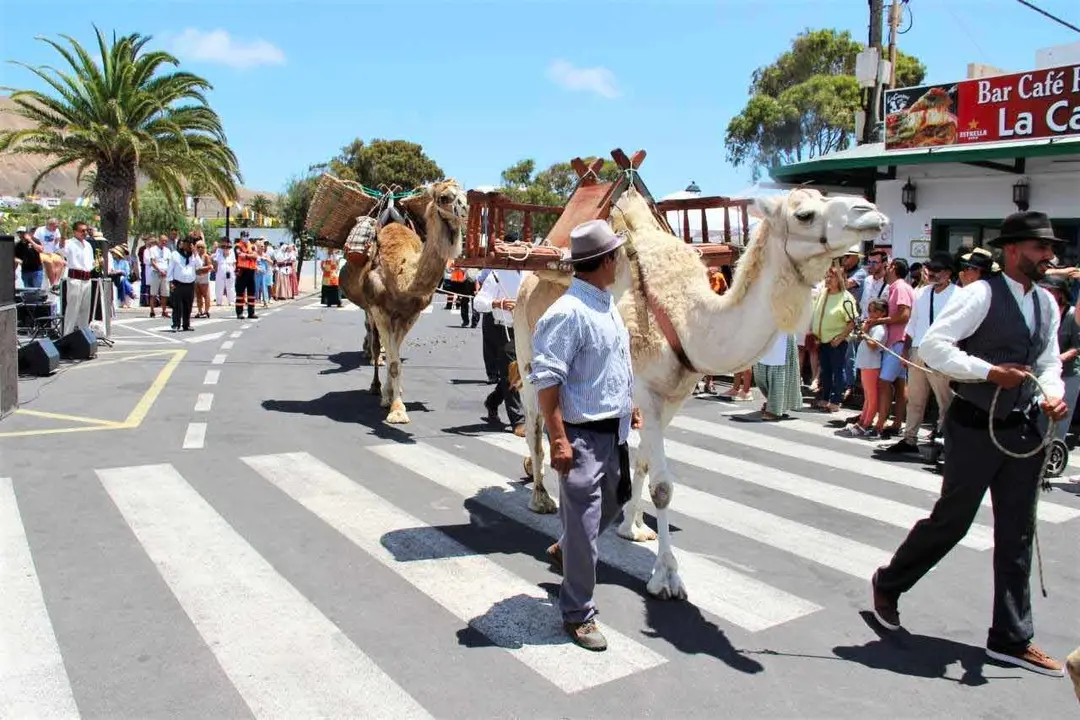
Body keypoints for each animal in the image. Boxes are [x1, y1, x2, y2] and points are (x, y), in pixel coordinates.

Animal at [336, 180, 468, 425]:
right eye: (444, 197)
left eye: (466, 195)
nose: (466, 210)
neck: (401, 277)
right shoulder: (379, 309)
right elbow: (393, 360)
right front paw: (396, 410)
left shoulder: (410, 315)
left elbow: (395, 356)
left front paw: (394, 398)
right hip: (369, 310)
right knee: (375, 344)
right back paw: (375, 386)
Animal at [511, 183, 885, 600]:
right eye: (804, 214)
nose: (870, 212)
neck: (688, 319)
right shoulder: (646, 393)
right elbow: (662, 486)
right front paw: (666, 577)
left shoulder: (673, 397)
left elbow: (643, 463)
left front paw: (632, 527)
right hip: (527, 352)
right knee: (535, 424)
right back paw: (541, 498)